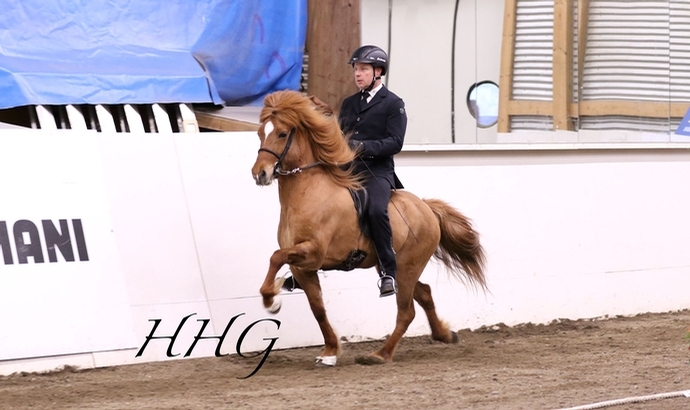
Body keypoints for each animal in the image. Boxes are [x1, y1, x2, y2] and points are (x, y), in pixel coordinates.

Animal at [249, 89, 484, 366]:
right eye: (260, 132)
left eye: (282, 133)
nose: (259, 174)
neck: (308, 192)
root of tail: (426, 207)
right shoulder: (303, 267)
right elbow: (318, 309)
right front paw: (329, 352)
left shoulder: (313, 252)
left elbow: (276, 257)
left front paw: (271, 300)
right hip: (394, 265)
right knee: (424, 293)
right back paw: (444, 335)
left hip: (408, 266)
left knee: (407, 311)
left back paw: (380, 354)